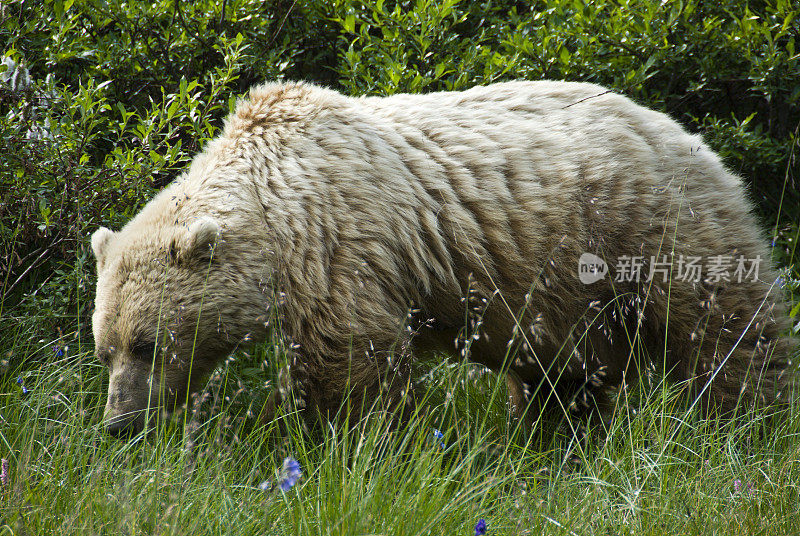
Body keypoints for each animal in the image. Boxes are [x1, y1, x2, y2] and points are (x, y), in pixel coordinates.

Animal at [90, 79, 792, 438]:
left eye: (147, 344)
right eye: (105, 348)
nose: (119, 422)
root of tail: (690, 135)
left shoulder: (343, 248)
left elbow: (348, 367)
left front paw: (324, 438)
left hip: (652, 228)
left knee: (726, 335)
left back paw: (744, 425)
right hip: (564, 288)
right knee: (561, 374)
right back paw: (553, 435)